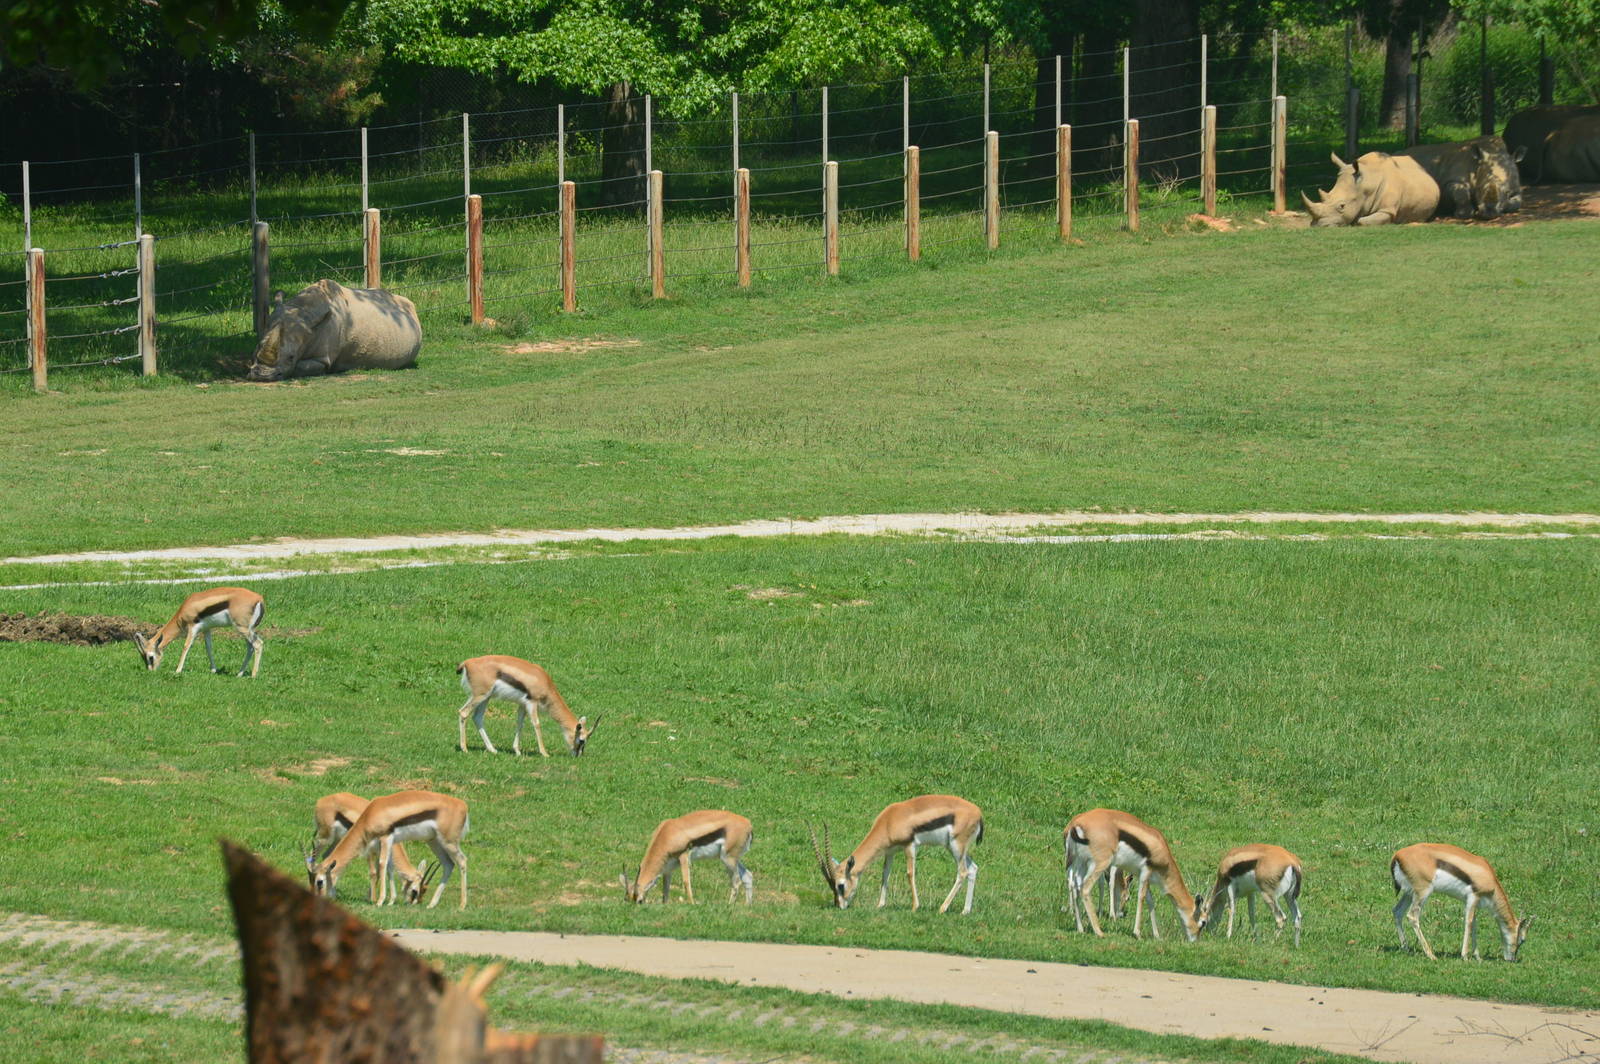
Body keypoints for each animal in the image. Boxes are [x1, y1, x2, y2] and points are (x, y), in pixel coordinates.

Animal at [246, 279, 422, 381]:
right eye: (257, 348)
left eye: (291, 357)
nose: (262, 376)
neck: (302, 310)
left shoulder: (323, 358)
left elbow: (302, 367)